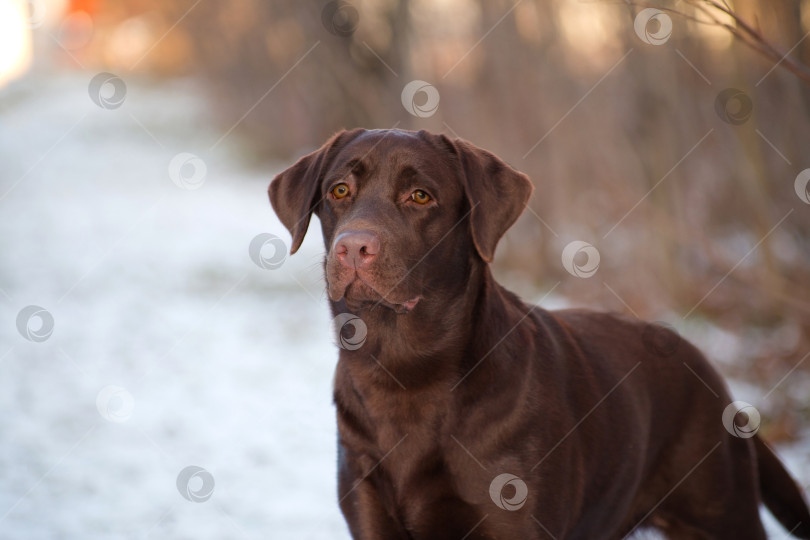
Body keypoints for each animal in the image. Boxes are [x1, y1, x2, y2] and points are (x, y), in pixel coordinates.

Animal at [266, 129, 808, 536]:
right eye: (339, 191)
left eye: (420, 196)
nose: (353, 247)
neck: (403, 372)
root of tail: (712, 372)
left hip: (722, 514)